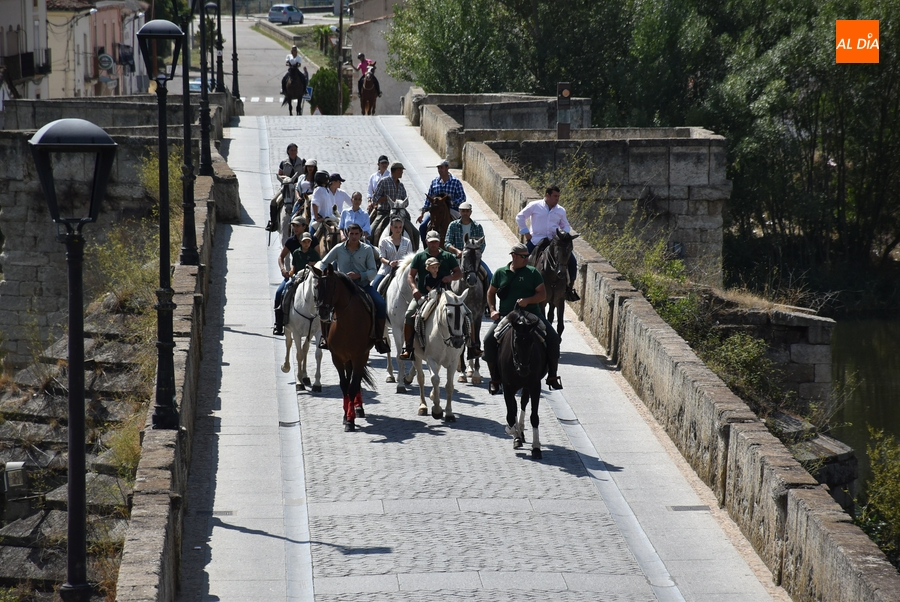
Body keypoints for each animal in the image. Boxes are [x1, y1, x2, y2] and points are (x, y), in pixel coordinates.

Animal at [311, 264, 376, 431]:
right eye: (316, 286)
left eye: (332, 286)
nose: (322, 312)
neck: (347, 322)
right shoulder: (338, 358)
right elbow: (344, 385)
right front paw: (346, 415)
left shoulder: (359, 356)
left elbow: (352, 386)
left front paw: (350, 419)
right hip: (347, 359)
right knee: (350, 376)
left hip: (360, 356)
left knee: (356, 380)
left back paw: (358, 408)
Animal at [413, 287, 470, 422]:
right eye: (449, 314)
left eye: (464, 314)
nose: (458, 341)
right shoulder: (430, 359)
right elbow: (435, 379)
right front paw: (437, 410)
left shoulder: (453, 362)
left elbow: (449, 386)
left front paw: (449, 413)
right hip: (416, 356)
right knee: (421, 378)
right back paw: (423, 406)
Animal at [497, 309, 548, 459]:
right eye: (516, 340)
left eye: (532, 342)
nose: (524, 369)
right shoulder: (507, 387)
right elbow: (510, 414)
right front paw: (514, 434)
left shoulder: (535, 386)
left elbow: (534, 417)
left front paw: (536, 447)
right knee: (515, 406)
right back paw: (518, 433)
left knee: (523, 402)